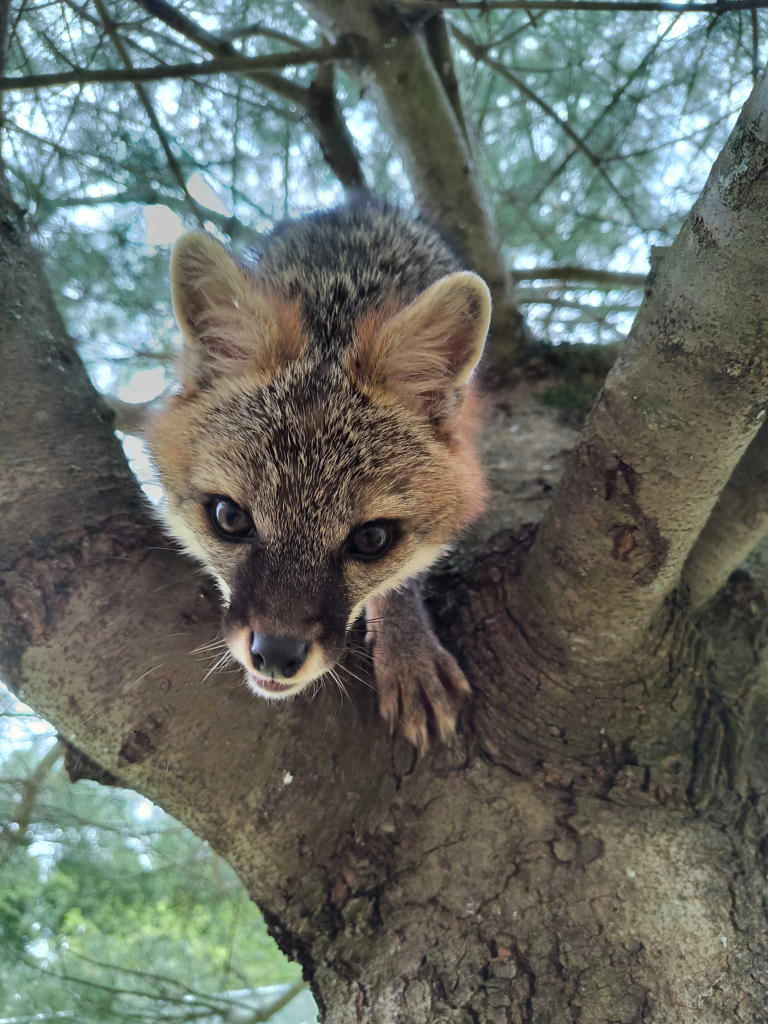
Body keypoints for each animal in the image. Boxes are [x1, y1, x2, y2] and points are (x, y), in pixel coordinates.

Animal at [146, 198, 490, 752]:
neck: (336, 304)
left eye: (372, 540)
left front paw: (408, 648)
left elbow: (404, 580)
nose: (276, 655)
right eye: (229, 517)